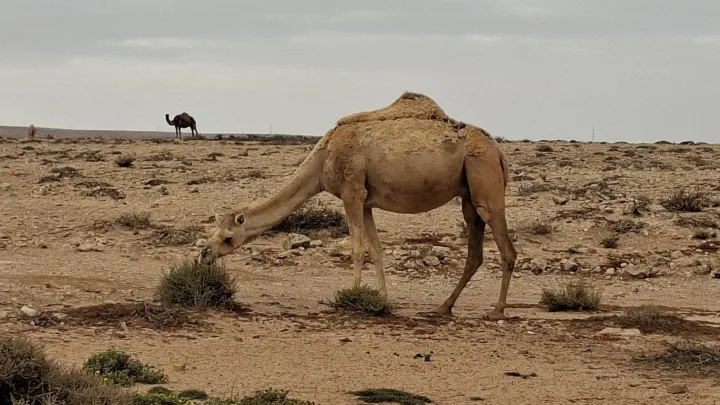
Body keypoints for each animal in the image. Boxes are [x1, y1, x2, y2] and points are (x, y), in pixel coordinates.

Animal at [197, 92, 517, 320]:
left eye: (227, 237)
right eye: (213, 233)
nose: (203, 255)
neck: (322, 160)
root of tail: (498, 151)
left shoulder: (351, 191)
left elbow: (356, 249)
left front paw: (353, 295)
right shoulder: (366, 200)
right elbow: (376, 250)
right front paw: (383, 299)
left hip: (484, 179)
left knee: (506, 247)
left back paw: (497, 311)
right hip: (468, 193)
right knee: (475, 250)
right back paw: (442, 308)